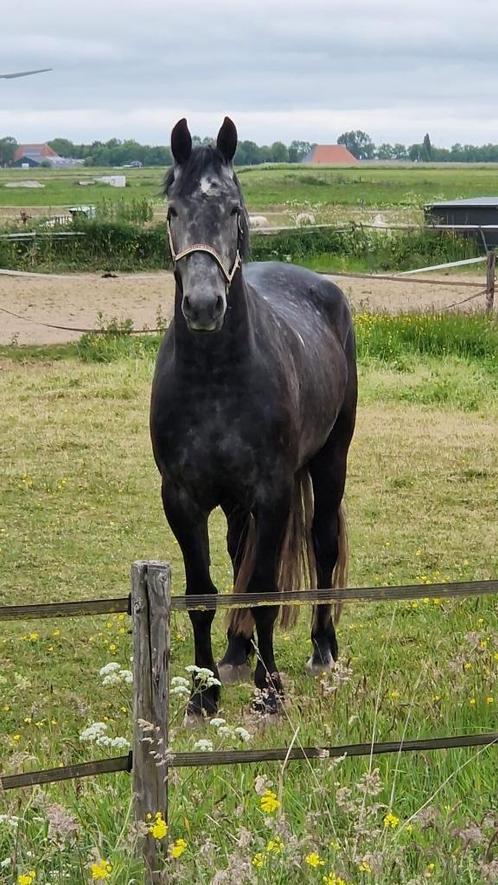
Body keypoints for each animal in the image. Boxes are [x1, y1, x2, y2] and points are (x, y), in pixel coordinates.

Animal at [150, 117, 356, 720]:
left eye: (234, 209)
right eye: (172, 211)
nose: (203, 305)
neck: (217, 379)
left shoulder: (273, 493)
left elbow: (265, 586)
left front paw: (271, 692)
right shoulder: (183, 498)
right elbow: (202, 593)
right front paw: (204, 694)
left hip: (330, 461)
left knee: (323, 543)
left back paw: (322, 649)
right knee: (239, 554)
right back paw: (236, 653)